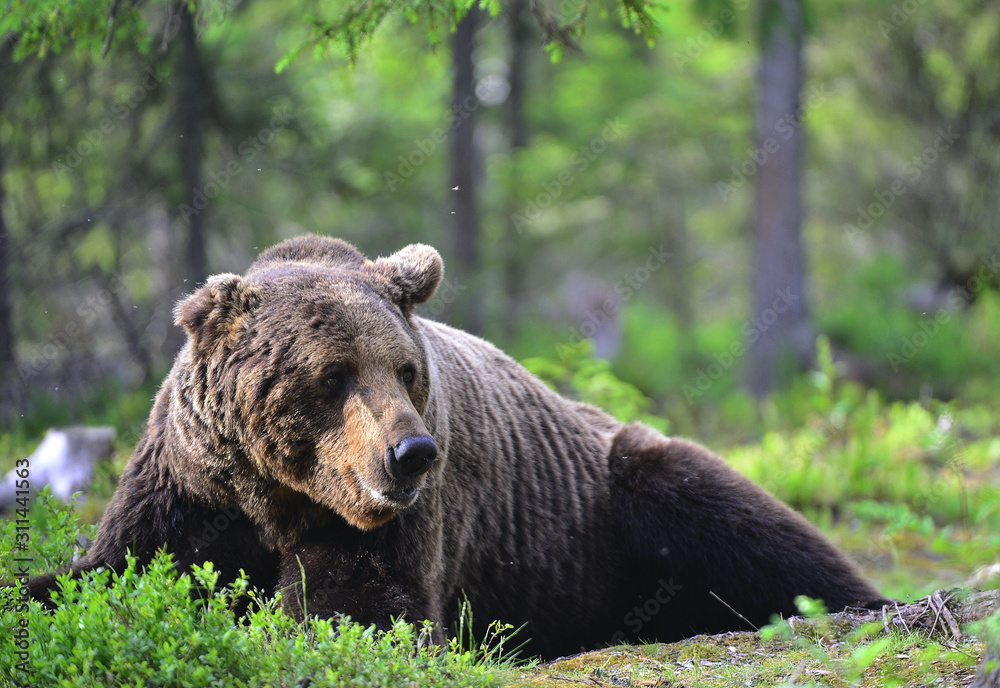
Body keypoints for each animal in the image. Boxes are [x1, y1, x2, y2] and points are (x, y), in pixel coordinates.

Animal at [25, 235, 888, 658]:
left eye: (406, 370)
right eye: (332, 374)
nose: (411, 453)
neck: (276, 492)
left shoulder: (394, 521)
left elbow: (365, 612)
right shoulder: (189, 484)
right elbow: (111, 568)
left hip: (617, 490)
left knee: (748, 526)